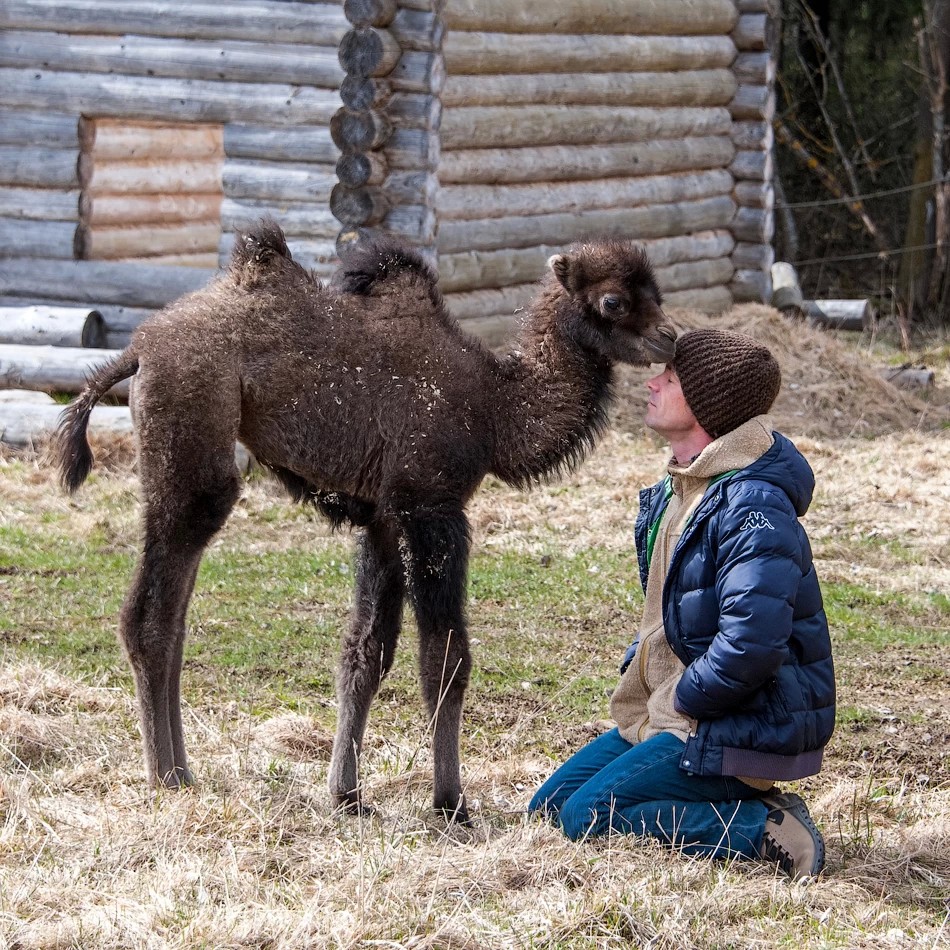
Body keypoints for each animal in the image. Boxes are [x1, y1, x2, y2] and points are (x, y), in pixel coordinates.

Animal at [55, 219, 676, 820]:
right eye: (614, 301)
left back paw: (183, 771)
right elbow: (444, 658)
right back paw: (165, 775)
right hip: (191, 440)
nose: (668, 338)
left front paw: (347, 795)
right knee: (151, 611)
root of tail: (139, 348)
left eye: (657, 291)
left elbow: (365, 654)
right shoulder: (431, 508)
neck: (495, 409)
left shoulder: (382, 519)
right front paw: (451, 803)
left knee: (175, 618)